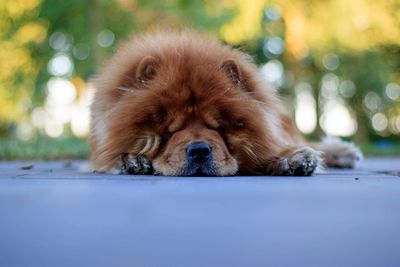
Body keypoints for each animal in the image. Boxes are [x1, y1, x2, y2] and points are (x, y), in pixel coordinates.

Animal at [90, 30, 362, 176]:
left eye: (220, 128)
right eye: (168, 131)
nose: (199, 150)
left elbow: (272, 148)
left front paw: (294, 158)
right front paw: (133, 161)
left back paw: (342, 153)